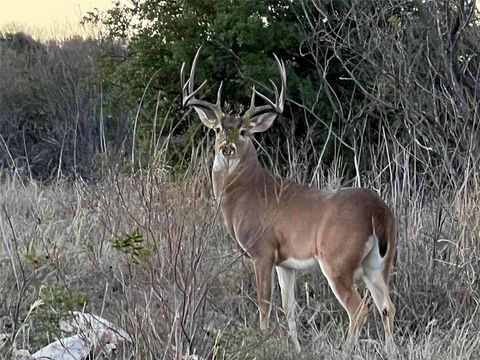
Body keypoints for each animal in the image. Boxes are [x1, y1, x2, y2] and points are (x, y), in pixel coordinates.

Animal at [181, 47, 398, 352]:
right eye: (217, 130)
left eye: (244, 131)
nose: (227, 148)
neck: (247, 192)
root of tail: (378, 211)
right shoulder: (285, 262)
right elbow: (289, 307)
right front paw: (296, 348)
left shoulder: (261, 250)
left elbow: (264, 305)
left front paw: (262, 342)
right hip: (379, 264)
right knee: (387, 306)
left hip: (337, 260)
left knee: (359, 308)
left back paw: (346, 349)